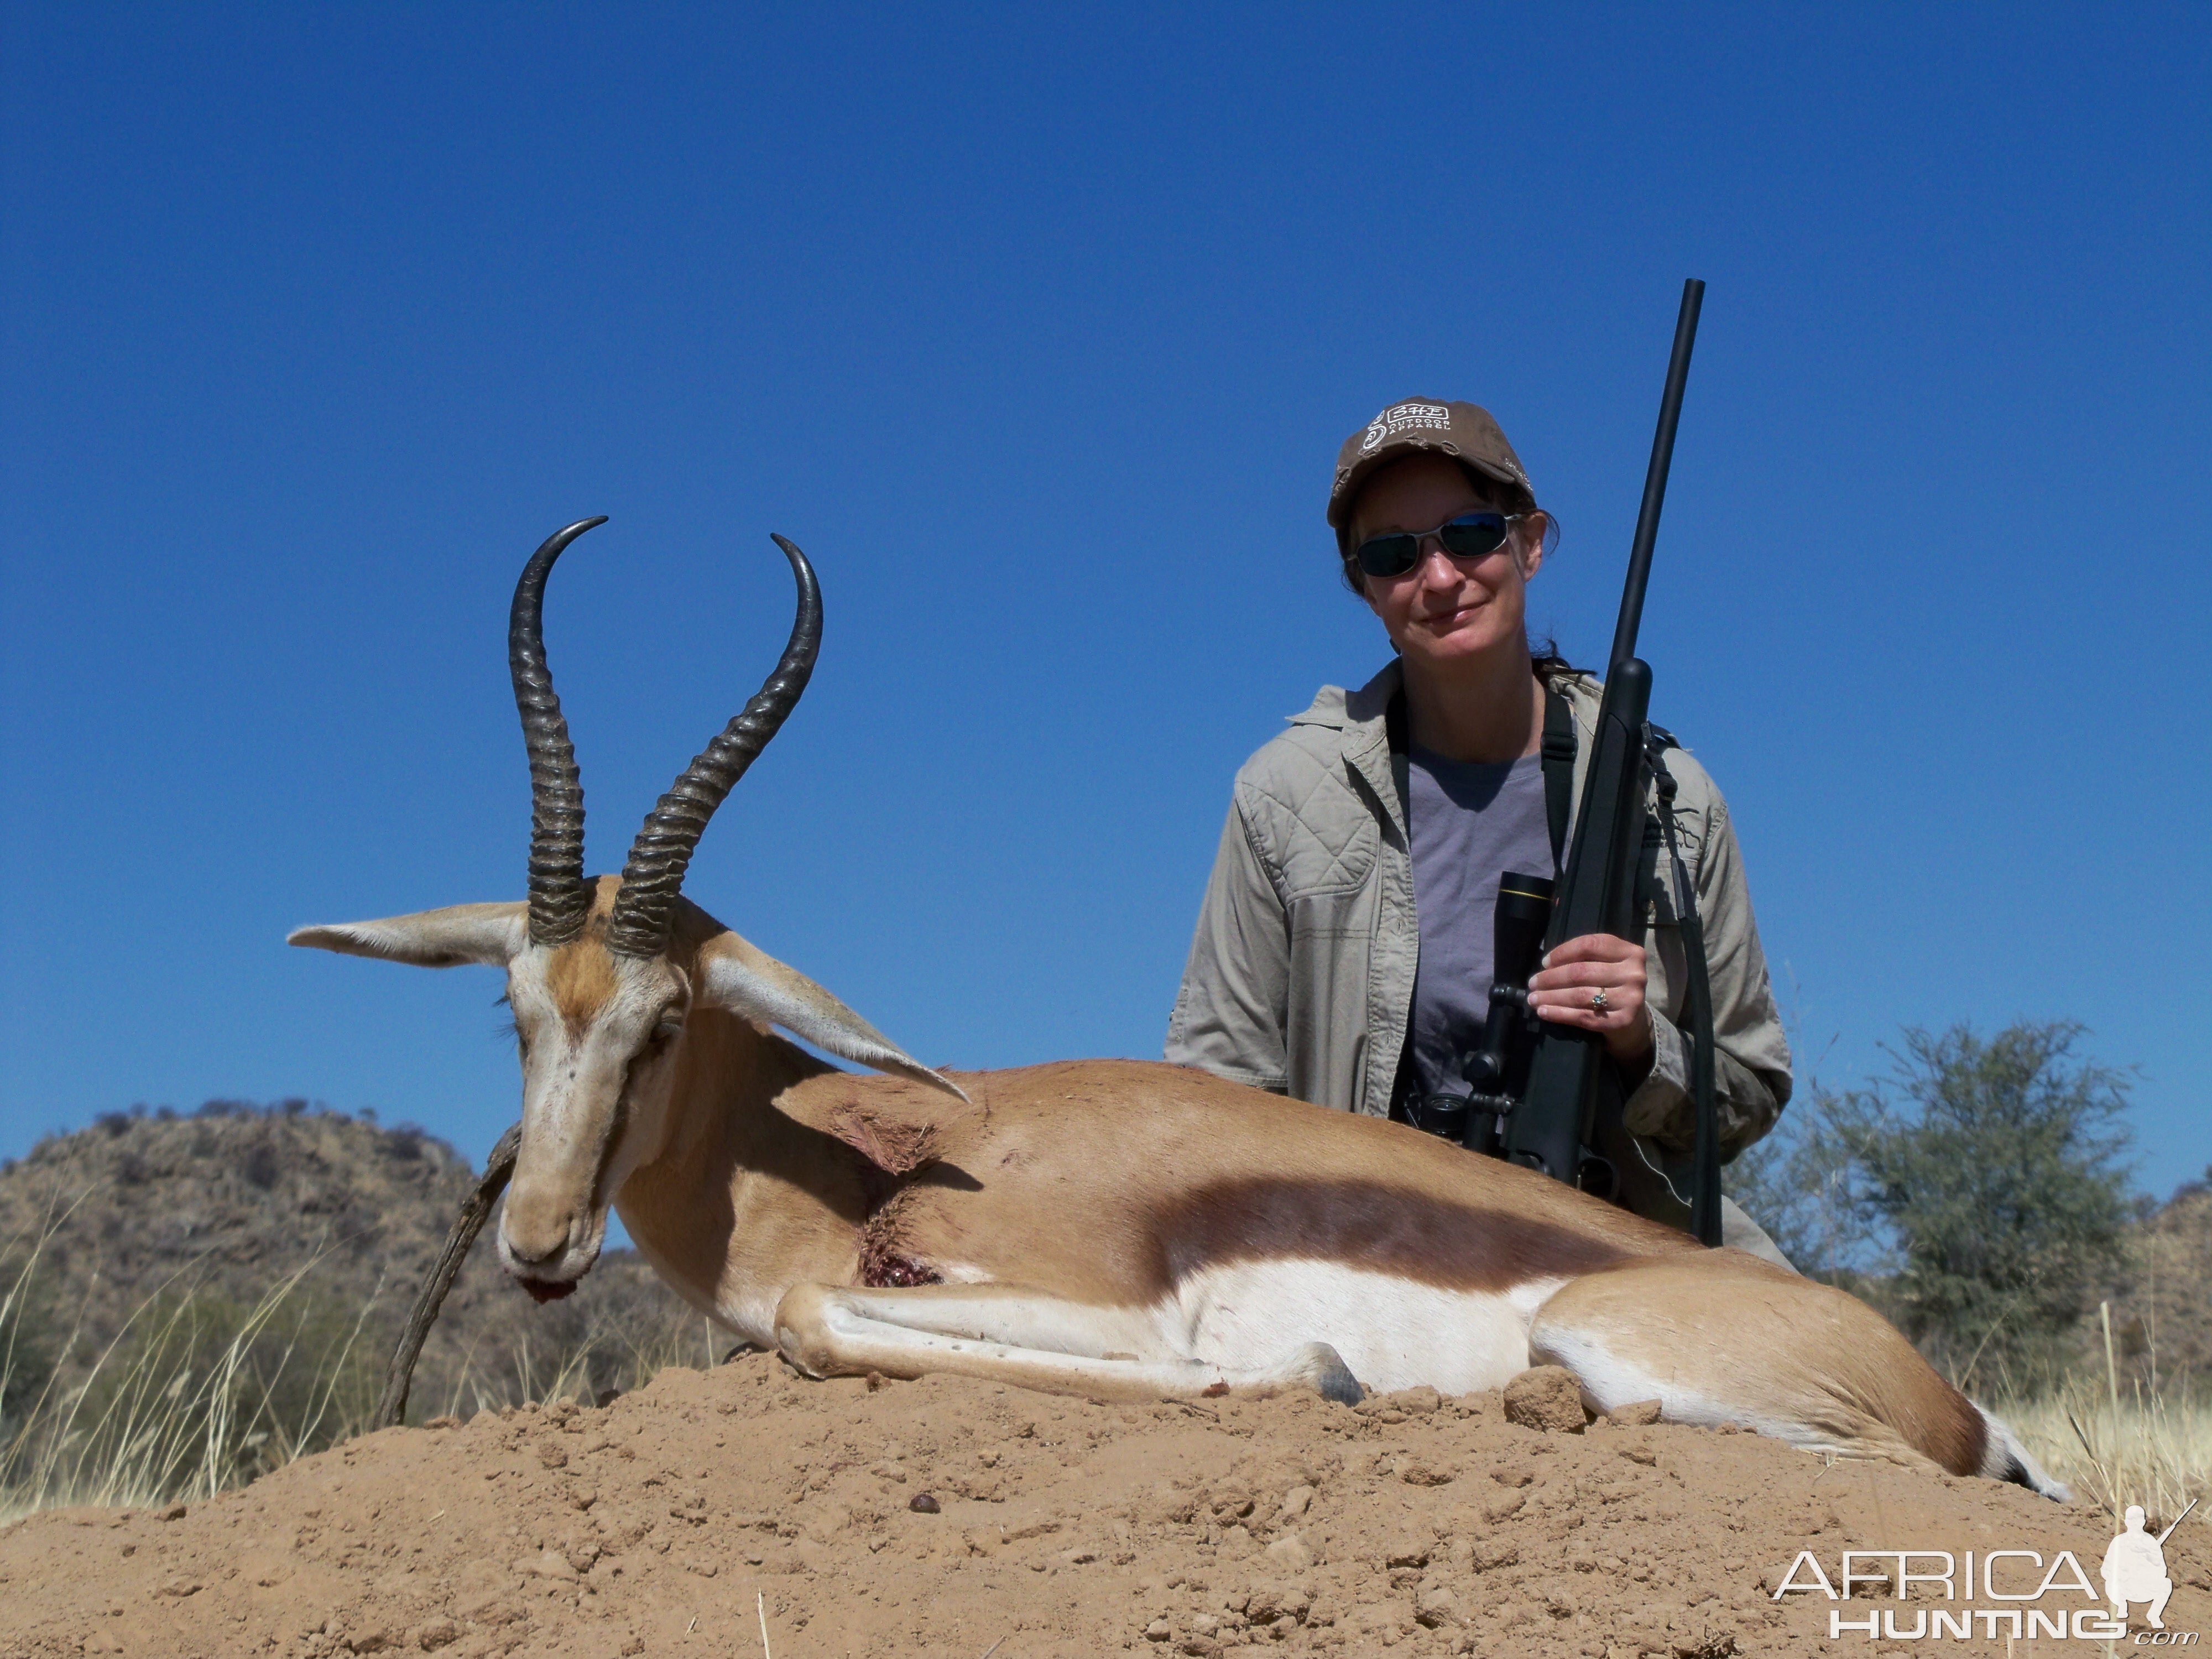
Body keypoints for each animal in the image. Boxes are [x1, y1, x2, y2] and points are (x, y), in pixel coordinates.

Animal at [285, 526, 2062, 1504]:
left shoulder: (1101, 1309)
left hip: (1632, 1348)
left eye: (661, 1021)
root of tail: (1946, 1390)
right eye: (515, 1006)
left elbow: (823, 1323)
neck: (875, 1154)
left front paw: (1309, 1380)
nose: (538, 1242)